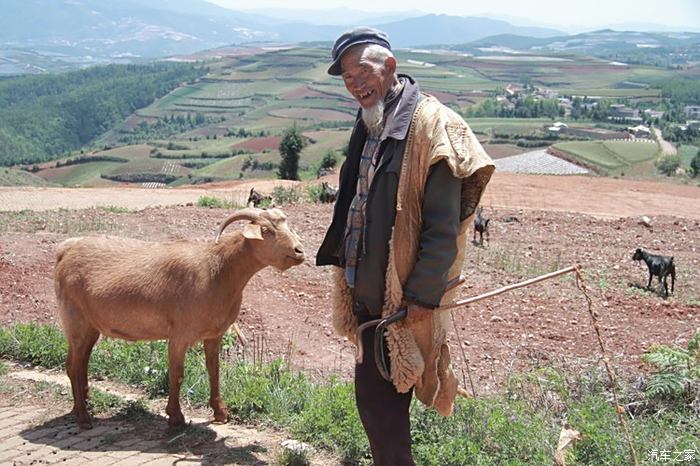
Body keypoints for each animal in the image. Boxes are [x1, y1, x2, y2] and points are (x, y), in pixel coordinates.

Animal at [53, 208, 304, 430]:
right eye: (266, 230)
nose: (299, 251)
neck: (217, 271)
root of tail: (65, 250)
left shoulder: (214, 334)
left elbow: (214, 370)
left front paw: (220, 413)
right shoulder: (179, 335)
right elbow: (177, 373)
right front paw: (175, 417)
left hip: (90, 326)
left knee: (80, 363)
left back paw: (82, 404)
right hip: (76, 321)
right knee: (73, 366)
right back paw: (84, 418)